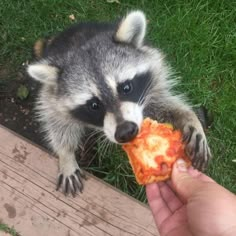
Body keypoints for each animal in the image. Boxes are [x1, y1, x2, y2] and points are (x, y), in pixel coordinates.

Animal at [26, 10, 211, 195]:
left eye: (126, 87)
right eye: (94, 105)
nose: (126, 131)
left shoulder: (153, 81)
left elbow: (162, 103)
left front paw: (189, 117)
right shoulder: (51, 98)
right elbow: (57, 122)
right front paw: (66, 156)